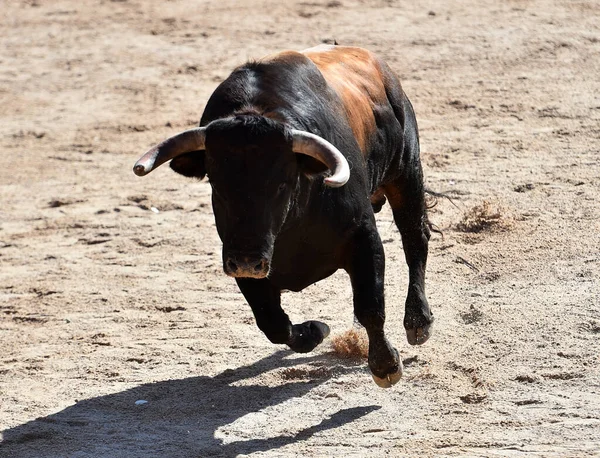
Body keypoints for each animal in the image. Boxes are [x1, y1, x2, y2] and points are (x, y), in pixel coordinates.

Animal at [132, 44, 432, 388]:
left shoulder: (363, 236)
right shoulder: (241, 261)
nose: (247, 260)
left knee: (414, 240)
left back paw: (418, 321)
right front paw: (313, 331)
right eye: (216, 184)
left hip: (406, 171)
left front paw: (385, 365)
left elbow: (370, 305)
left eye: (281, 185)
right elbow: (272, 321)